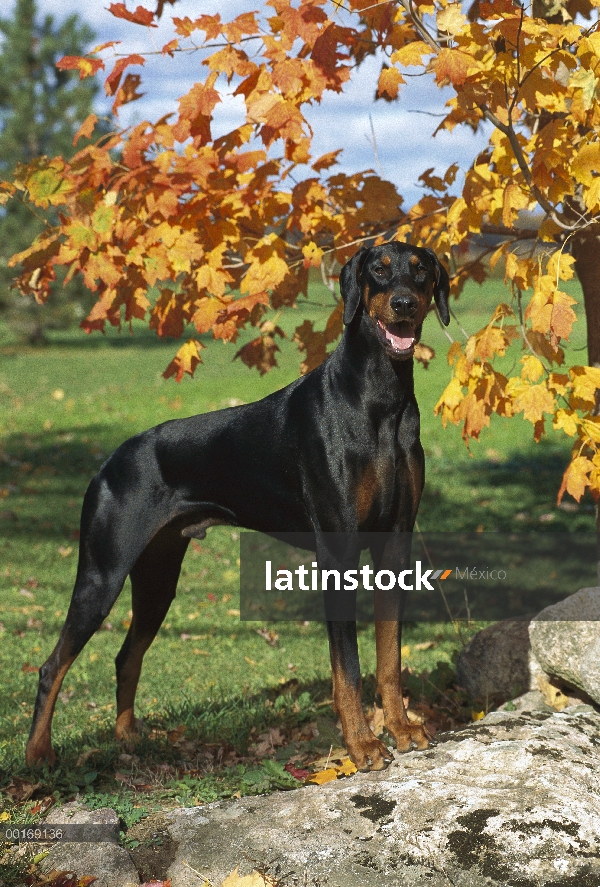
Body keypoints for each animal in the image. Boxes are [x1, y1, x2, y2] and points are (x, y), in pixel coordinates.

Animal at [28, 241, 450, 772]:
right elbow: (348, 669)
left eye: (421, 273)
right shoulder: (338, 552)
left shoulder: (394, 543)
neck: (381, 398)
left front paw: (400, 728)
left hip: (158, 578)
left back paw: (128, 738)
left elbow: (389, 656)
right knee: (52, 665)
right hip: (101, 575)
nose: (403, 305)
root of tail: (110, 461)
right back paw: (38, 754)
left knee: (127, 655)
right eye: (379, 270)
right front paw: (362, 745)